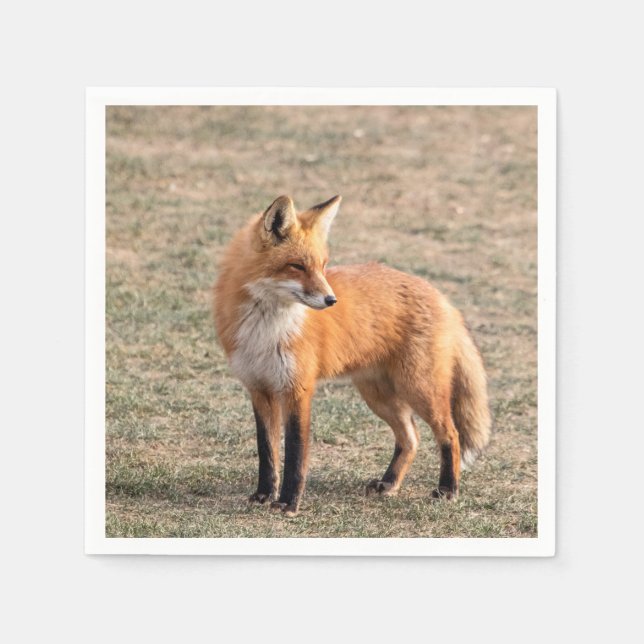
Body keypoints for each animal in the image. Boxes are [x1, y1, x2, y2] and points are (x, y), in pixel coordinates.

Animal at [213, 195, 491, 517]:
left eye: (323, 266)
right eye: (296, 266)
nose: (331, 300)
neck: (267, 328)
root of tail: (442, 297)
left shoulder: (298, 389)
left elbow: (295, 452)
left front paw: (289, 502)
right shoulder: (259, 388)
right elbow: (267, 450)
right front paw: (263, 494)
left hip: (419, 389)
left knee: (450, 434)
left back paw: (448, 489)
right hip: (378, 396)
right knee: (411, 438)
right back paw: (389, 484)